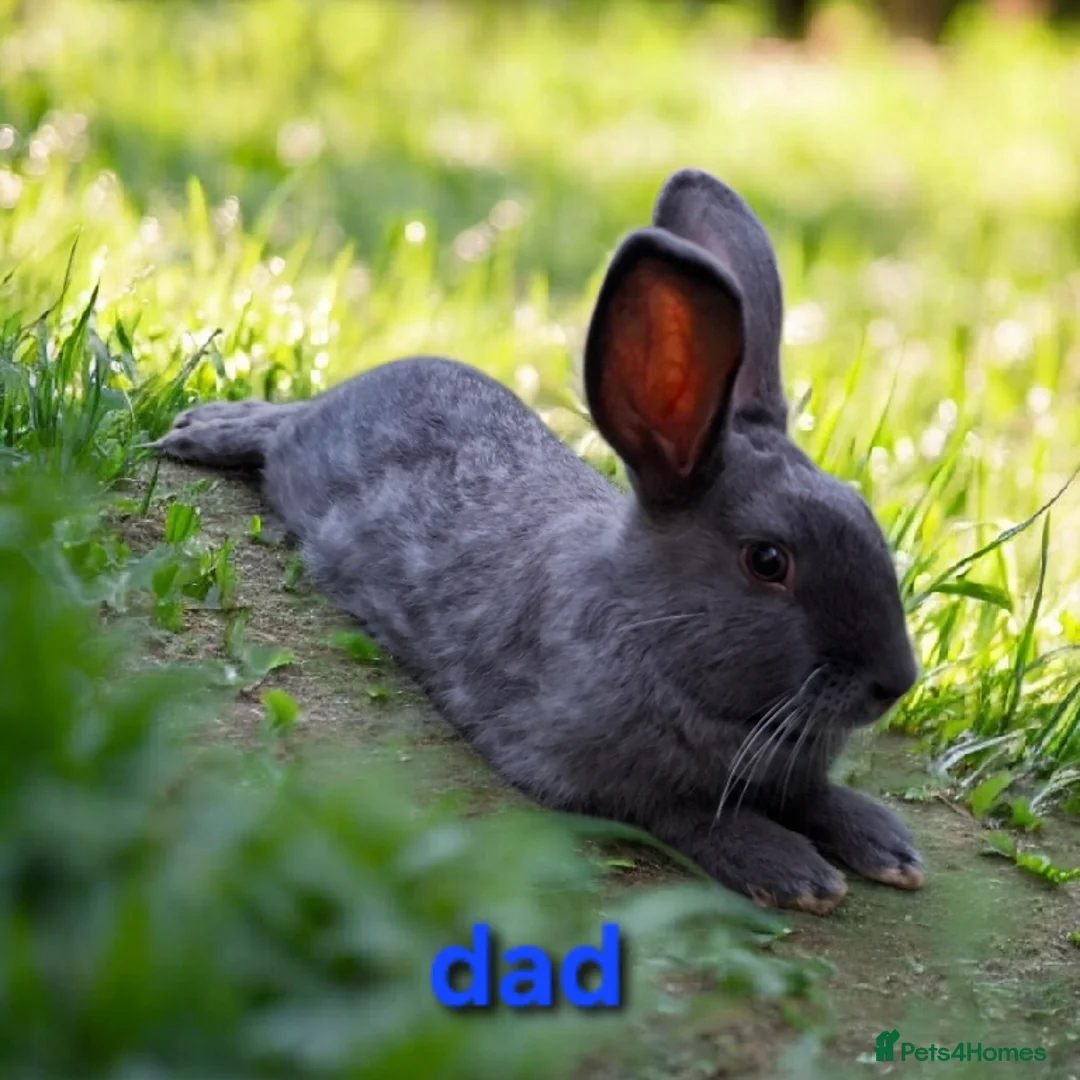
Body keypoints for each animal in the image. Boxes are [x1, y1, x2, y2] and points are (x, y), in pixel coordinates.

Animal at [154, 168, 922, 914]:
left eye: (866, 515)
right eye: (768, 561)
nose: (895, 682)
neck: (649, 627)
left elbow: (812, 795)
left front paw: (888, 846)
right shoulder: (588, 769)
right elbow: (689, 815)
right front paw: (795, 873)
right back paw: (198, 431)